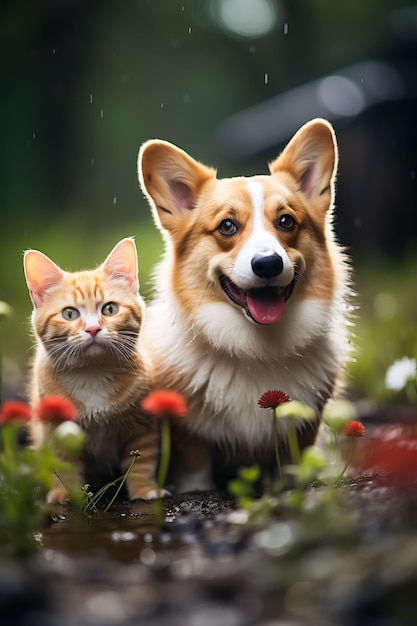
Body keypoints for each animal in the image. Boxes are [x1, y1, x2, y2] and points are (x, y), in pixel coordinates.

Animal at [24, 238, 161, 502]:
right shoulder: (56, 429)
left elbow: (141, 462)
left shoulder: (142, 427)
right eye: (69, 313)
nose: (93, 329)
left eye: (110, 309)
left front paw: (144, 490)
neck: (92, 373)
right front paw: (64, 494)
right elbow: (63, 464)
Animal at [137, 118, 352, 488]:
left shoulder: (303, 430)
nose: (268, 264)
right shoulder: (191, 437)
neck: (255, 348)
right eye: (227, 225)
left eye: (286, 221)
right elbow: (197, 476)